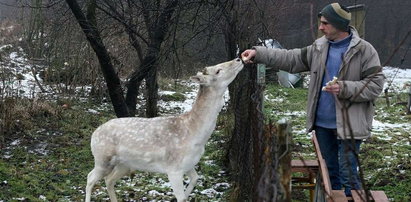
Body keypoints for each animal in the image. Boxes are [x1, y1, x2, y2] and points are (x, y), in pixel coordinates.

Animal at [85, 57, 243, 201]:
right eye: (218, 70)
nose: (239, 58)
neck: (195, 135)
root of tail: (93, 134)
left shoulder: (188, 164)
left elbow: (195, 179)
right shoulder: (173, 168)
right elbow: (181, 197)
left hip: (125, 164)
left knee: (109, 180)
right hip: (102, 158)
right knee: (90, 178)